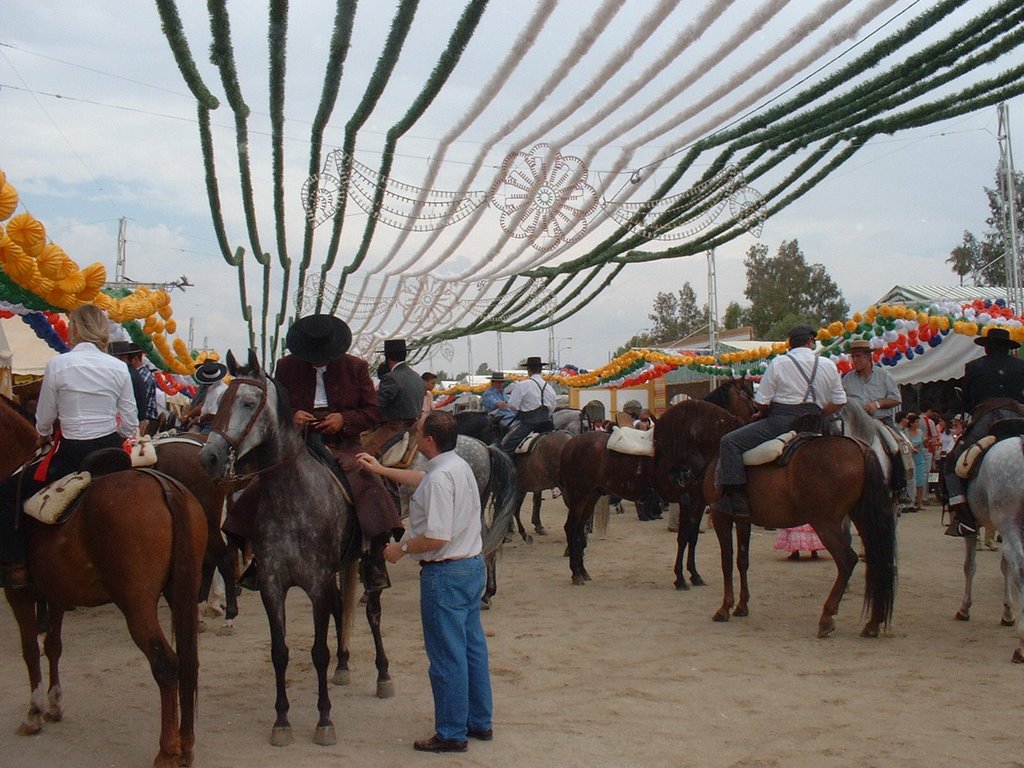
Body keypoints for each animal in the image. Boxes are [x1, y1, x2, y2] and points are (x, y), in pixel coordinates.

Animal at [0, 393, 209, 765]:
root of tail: (166, 489)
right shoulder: (56, 592)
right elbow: (52, 645)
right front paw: (54, 703)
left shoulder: (19, 593)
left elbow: (30, 648)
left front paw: (35, 712)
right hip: (181, 590)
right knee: (188, 662)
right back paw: (185, 746)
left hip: (137, 603)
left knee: (166, 664)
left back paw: (167, 750)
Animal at [557, 382, 757, 585]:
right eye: (746, 395)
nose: (756, 414)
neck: (692, 442)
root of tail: (569, 445)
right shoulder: (686, 501)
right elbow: (683, 537)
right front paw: (680, 578)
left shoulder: (698, 503)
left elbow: (692, 537)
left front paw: (694, 575)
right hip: (578, 496)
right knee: (571, 528)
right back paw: (575, 573)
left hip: (591, 496)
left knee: (579, 530)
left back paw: (583, 571)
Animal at [655, 399, 897, 638]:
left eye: (659, 440)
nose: (672, 482)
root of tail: (860, 448)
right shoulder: (742, 519)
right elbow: (742, 560)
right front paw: (742, 605)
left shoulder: (721, 516)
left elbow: (726, 561)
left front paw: (725, 608)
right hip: (861, 517)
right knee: (876, 559)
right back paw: (873, 622)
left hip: (825, 523)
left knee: (847, 560)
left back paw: (827, 617)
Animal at [950, 436, 1024, 663]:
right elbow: (1005, 567)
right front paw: (1007, 613)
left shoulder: (972, 527)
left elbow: (969, 566)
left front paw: (964, 608)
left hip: (1008, 524)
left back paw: (1021, 645)